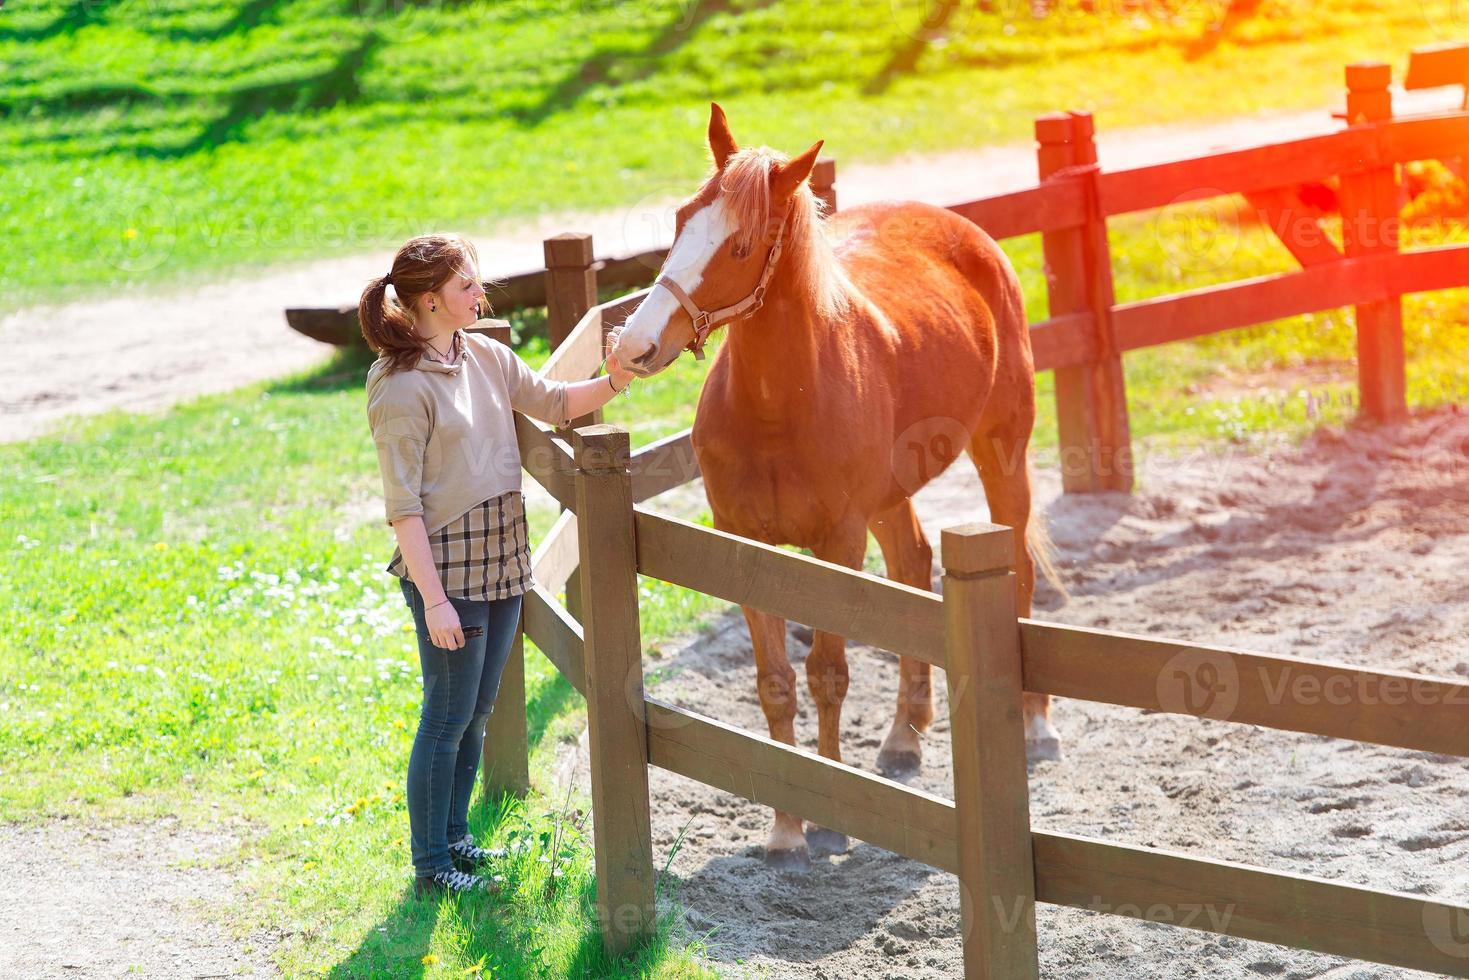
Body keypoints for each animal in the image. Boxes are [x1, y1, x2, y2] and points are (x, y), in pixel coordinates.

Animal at [614, 105, 1063, 863]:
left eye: (739, 247)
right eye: (680, 220)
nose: (632, 345)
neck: (777, 405)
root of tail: (966, 233)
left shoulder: (838, 544)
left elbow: (828, 673)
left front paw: (827, 819)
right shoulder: (745, 549)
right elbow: (774, 683)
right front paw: (784, 826)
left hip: (1001, 453)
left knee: (1019, 572)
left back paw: (1034, 726)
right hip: (892, 496)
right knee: (913, 564)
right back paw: (904, 738)